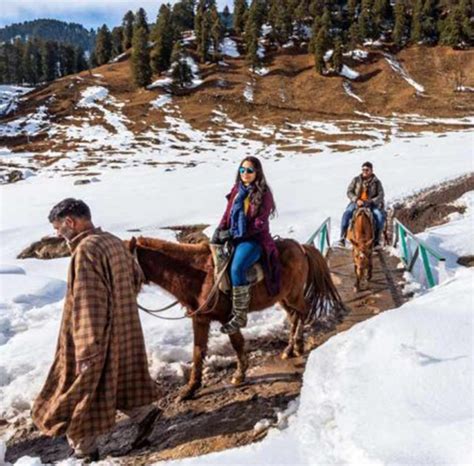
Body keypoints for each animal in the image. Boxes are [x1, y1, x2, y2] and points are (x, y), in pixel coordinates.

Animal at [129, 237, 344, 400]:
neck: (198, 274)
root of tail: (301, 247)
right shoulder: (200, 319)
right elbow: (198, 352)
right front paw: (189, 390)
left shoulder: (227, 318)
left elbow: (237, 343)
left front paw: (239, 375)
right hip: (282, 298)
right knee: (294, 316)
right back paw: (291, 349)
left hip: (293, 295)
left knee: (303, 311)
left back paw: (297, 345)